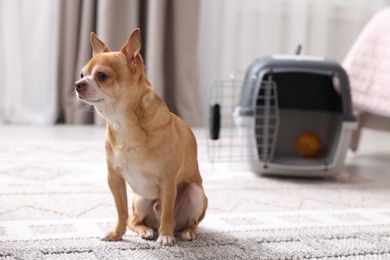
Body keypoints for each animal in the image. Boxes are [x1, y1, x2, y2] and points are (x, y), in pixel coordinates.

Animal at [74, 28, 207, 246]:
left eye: (101, 76)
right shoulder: (115, 179)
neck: (124, 125)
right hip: (140, 199)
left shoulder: (168, 182)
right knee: (133, 220)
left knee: (187, 220)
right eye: (81, 75)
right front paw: (116, 234)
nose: (78, 84)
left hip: (195, 192)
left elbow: (167, 212)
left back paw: (184, 232)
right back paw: (145, 230)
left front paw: (166, 236)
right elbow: (121, 211)